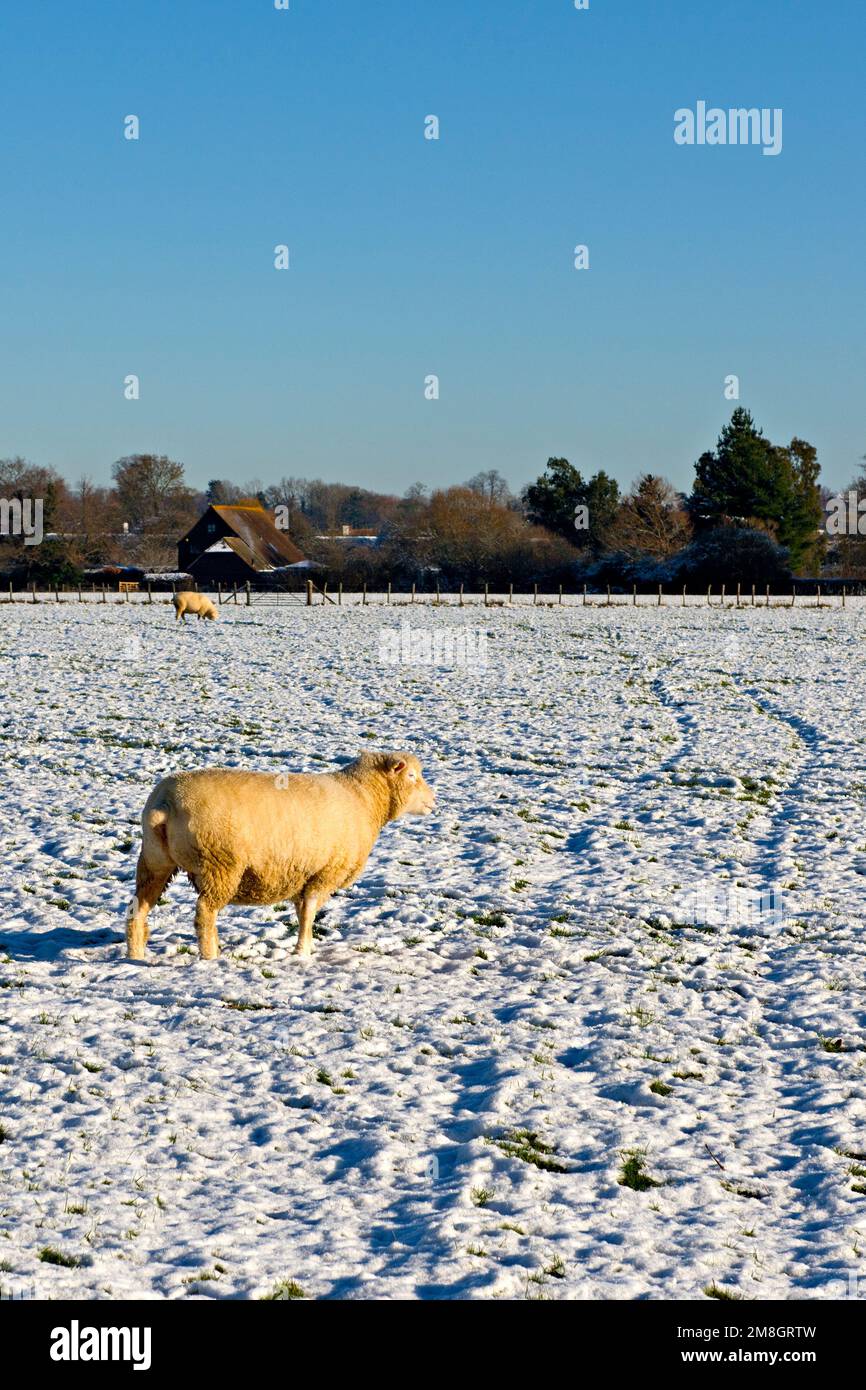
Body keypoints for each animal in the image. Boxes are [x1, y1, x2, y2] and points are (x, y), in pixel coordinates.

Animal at [125, 756, 436, 961]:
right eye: (412, 776)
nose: (434, 801)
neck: (364, 798)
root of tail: (164, 803)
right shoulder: (323, 873)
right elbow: (309, 913)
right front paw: (303, 951)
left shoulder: (304, 874)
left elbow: (301, 912)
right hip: (221, 863)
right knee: (205, 912)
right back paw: (211, 956)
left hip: (155, 859)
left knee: (138, 907)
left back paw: (136, 955)